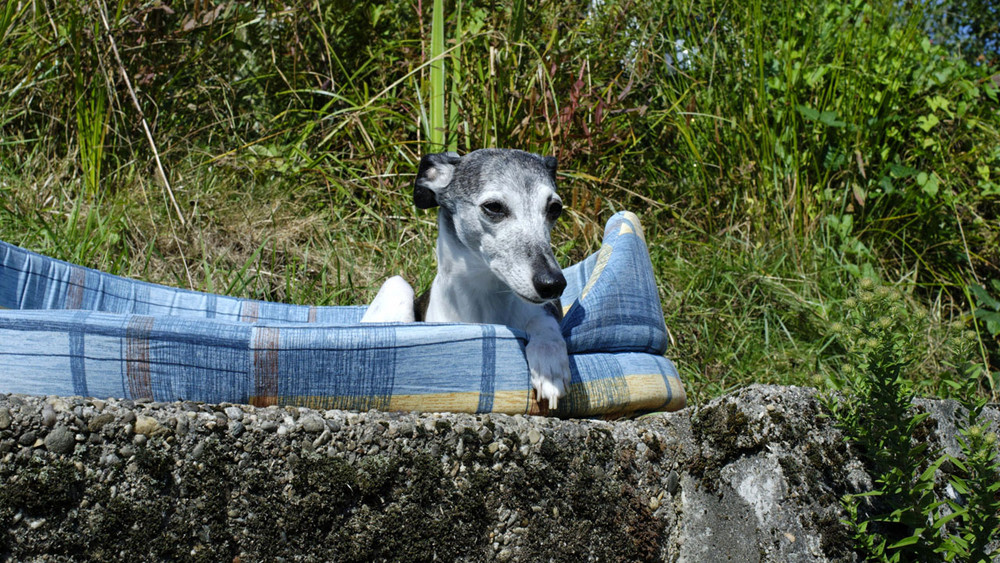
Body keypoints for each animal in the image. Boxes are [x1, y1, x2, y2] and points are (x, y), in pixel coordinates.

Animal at [366, 148, 572, 408]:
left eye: (555, 208)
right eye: (494, 207)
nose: (553, 284)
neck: (486, 299)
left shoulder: (547, 308)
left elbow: (544, 324)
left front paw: (549, 366)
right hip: (397, 284)